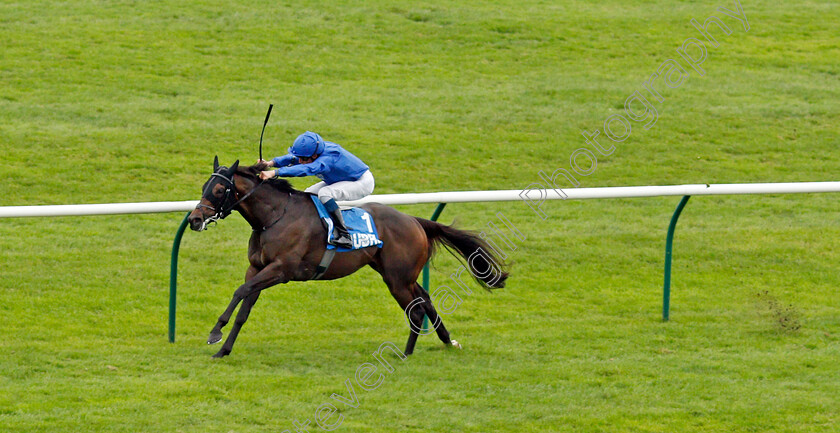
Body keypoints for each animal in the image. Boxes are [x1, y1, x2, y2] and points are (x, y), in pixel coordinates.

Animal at [188, 157, 508, 356]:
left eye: (219, 188)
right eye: (204, 186)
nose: (194, 219)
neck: (275, 217)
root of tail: (416, 221)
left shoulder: (281, 270)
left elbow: (240, 292)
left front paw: (215, 333)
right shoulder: (257, 269)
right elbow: (244, 306)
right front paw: (223, 349)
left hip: (397, 279)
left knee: (416, 309)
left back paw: (405, 354)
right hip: (397, 274)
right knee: (425, 299)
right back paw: (447, 341)